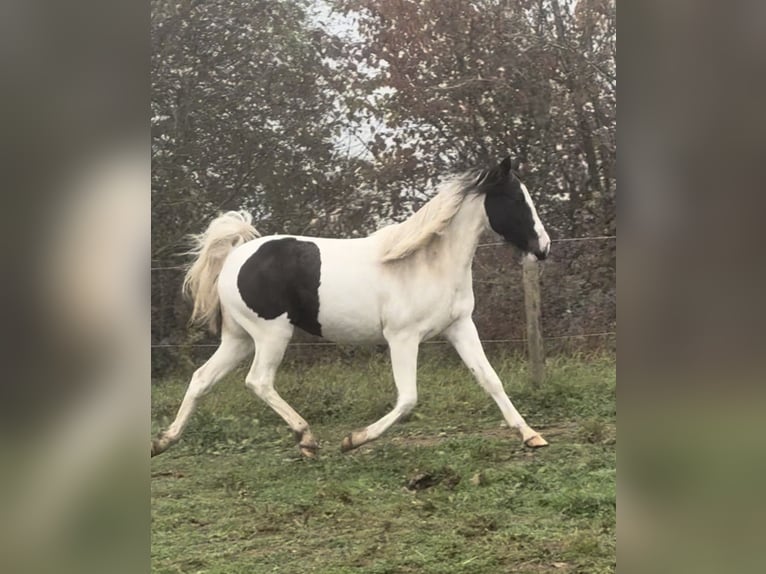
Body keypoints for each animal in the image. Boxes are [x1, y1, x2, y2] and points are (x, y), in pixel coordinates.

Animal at [152, 156, 552, 460]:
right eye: (516, 200)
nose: (544, 247)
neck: (426, 262)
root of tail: (235, 255)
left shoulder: (460, 327)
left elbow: (490, 379)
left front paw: (531, 435)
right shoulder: (402, 338)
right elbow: (408, 399)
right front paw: (353, 440)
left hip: (239, 339)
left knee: (201, 378)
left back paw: (164, 441)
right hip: (271, 334)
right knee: (258, 381)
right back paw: (307, 438)